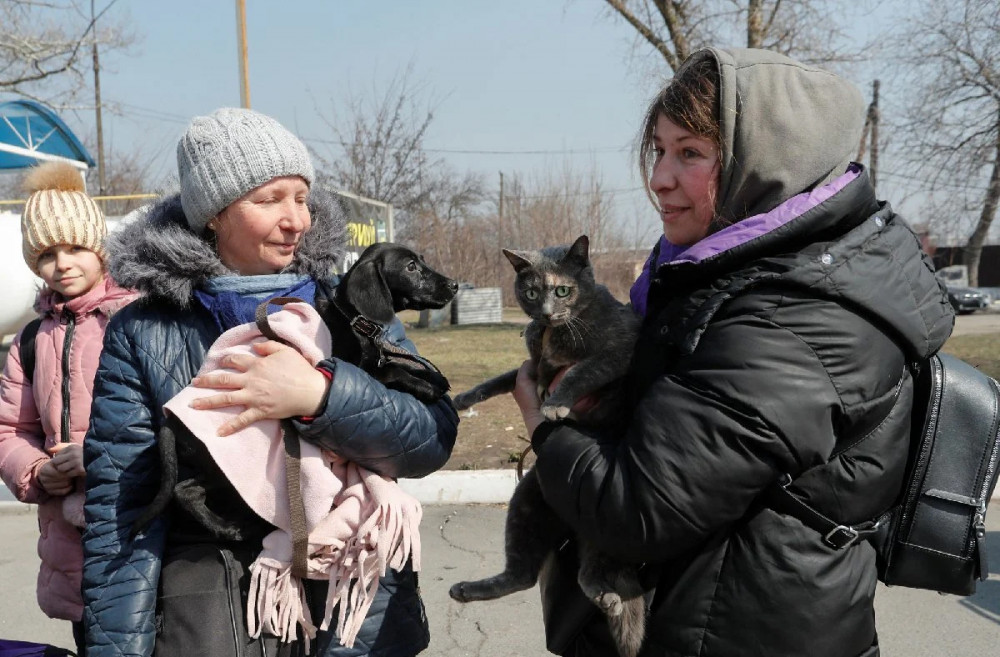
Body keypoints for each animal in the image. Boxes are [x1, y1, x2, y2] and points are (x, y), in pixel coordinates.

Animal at [131, 241, 458, 540]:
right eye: (411, 267)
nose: (454, 285)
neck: (353, 320)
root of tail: (171, 420)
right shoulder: (352, 367)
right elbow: (391, 370)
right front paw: (426, 387)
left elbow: (396, 360)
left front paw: (433, 376)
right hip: (223, 462)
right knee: (184, 491)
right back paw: (225, 527)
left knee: (187, 490)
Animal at [450, 233, 644, 652]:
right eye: (532, 292)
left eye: (562, 290)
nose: (546, 313)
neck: (558, 332)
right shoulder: (532, 362)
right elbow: (506, 377)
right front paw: (465, 398)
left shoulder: (618, 351)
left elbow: (581, 371)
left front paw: (555, 404)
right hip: (527, 501)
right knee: (524, 575)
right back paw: (467, 590)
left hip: (602, 530)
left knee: (584, 572)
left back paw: (609, 598)